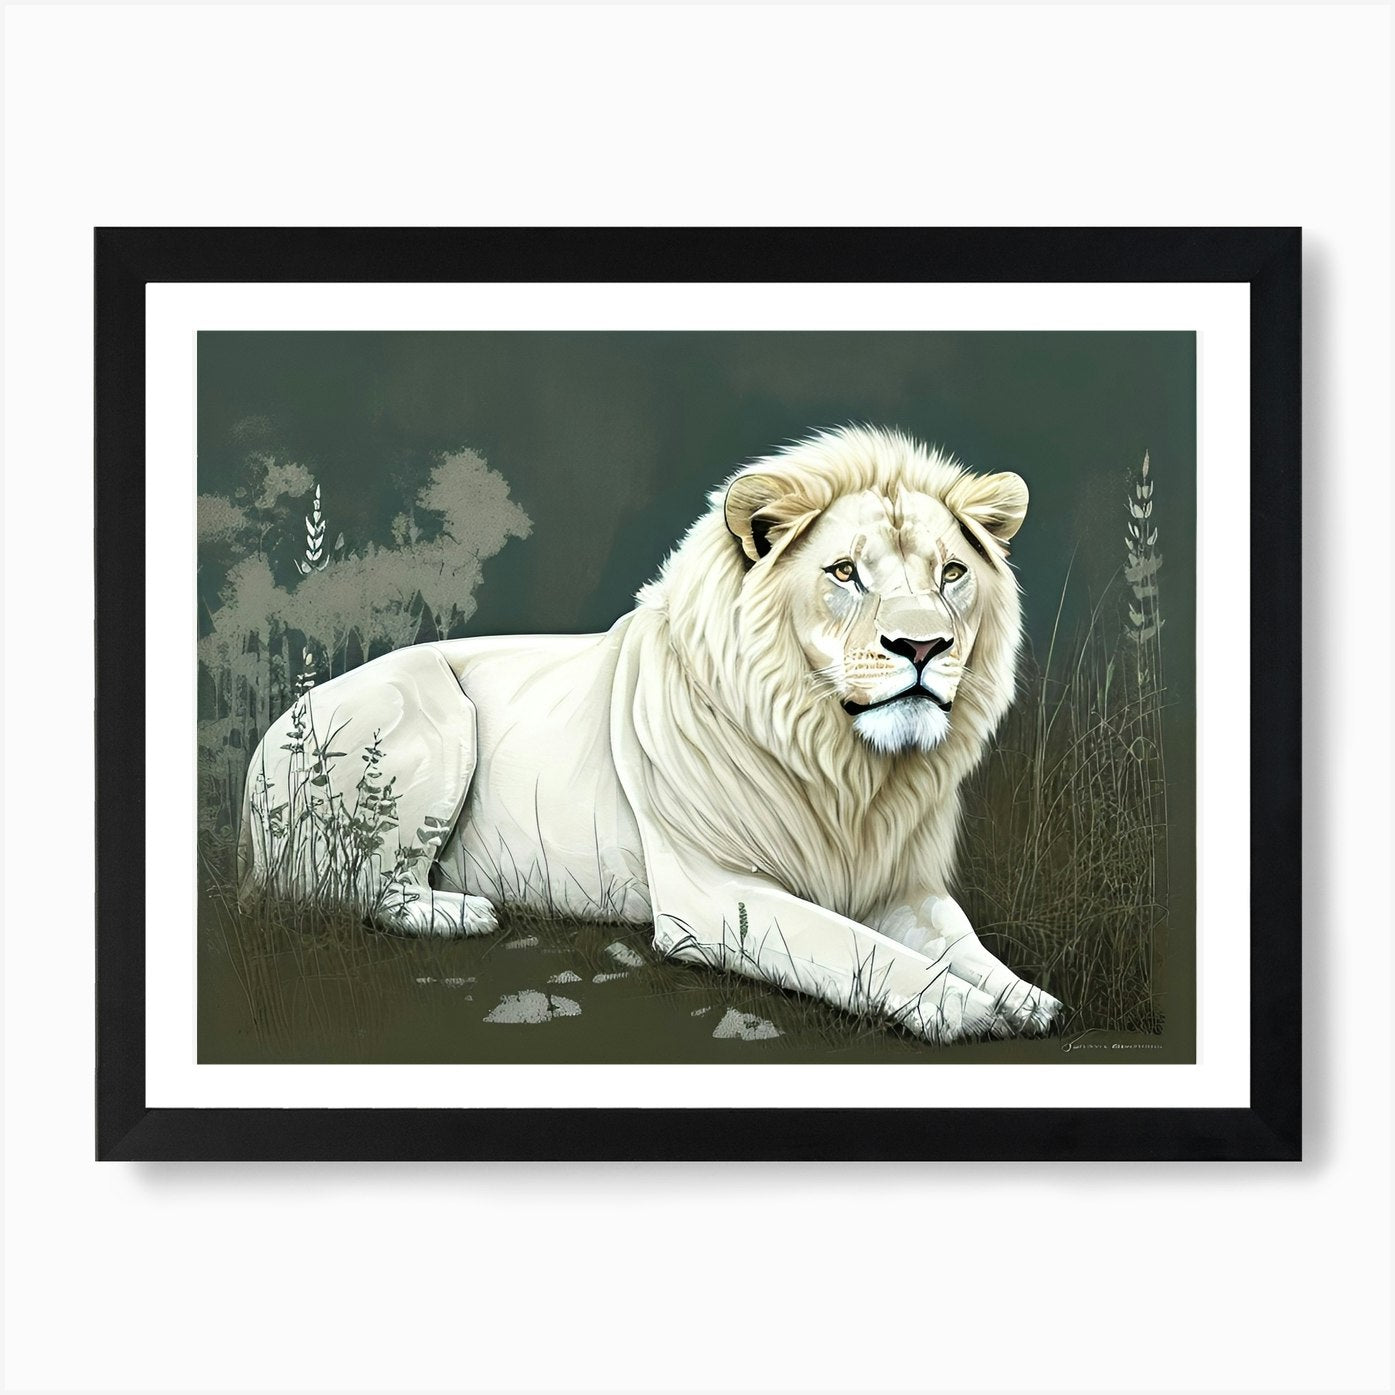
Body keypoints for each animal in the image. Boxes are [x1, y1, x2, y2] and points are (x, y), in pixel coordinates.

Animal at [240, 425, 1063, 1042]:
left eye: (951, 573)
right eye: (844, 572)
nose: (924, 646)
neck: (849, 769)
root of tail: (261, 752)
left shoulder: (902, 884)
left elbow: (961, 941)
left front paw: (1025, 998)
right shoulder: (712, 894)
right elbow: (859, 947)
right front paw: (963, 1008)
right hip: (434, 713)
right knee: (355, 886)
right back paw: (460, 908)